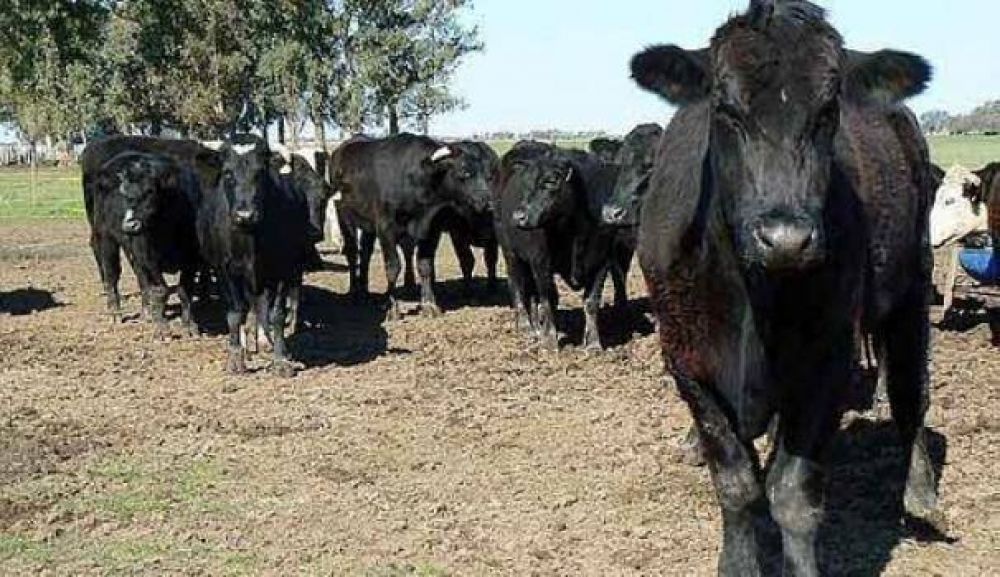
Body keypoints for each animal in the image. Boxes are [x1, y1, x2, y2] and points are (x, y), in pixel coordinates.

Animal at [84, 151, 202, 337]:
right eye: (124, 193)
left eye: (150, 191)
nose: (129, 225)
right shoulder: (149, 258)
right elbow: (160, 290)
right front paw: (162, 328)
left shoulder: (192, 257)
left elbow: (185, 290)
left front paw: (189, 325)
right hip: (105, 237)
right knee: (111, 276)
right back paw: (115, 313)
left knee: (140, 279)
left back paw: (147, 312)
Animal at [195, 136, 313, 377]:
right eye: (228, 173)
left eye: (260, 173)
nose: (245, 214)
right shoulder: (225, 270)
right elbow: (235, 313)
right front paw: (235, 358)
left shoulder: (283, 269)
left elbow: (277, 314)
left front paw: (280, 359)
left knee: (260, 306)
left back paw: (265, 342)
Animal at [330, 134, 492, 319]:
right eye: (465, 172)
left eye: (487, 175)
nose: (487, 202)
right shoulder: (386, 229)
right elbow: (393, 267)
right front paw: (392, 308)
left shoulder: (431, 229)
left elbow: (425, 265)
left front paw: (429, 305)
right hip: (344, 215)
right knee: (352, 253)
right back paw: (353, 292)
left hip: (367, 224)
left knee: (365, 253)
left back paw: (364, 290)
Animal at [495, 141, 629, 351]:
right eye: (524, 184)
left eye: (551, 181)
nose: (518, 216)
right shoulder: (541, 261)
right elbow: (548, 298)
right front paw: (550, 342)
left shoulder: (601, 261)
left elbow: (591, 302)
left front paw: (593, 344)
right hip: (510, 252)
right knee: (517, 285)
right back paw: (526, 327)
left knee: (530, 292)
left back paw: (537, 325)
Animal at [630, 1, 937, 574]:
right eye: (725, 109)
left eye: (828, 109)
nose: (786, 239)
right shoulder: (685, 361)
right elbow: (736, 481)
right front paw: (738, 560)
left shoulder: (828, 360)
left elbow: (792, 492)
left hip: (915, 280)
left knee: (911, 393)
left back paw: (922, 493)